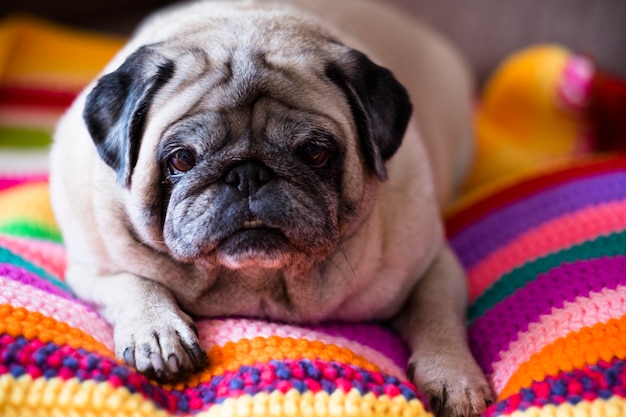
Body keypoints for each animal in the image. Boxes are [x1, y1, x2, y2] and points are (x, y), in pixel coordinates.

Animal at [48, 0, 490, 412]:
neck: (257, 282)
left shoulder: (432, 263)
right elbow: (132, 282)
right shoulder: (90, 267)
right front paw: (156, 331)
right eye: (182, 159)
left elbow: (437, 314)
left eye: (315, 153)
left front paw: (454, 378)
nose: (248, 174)